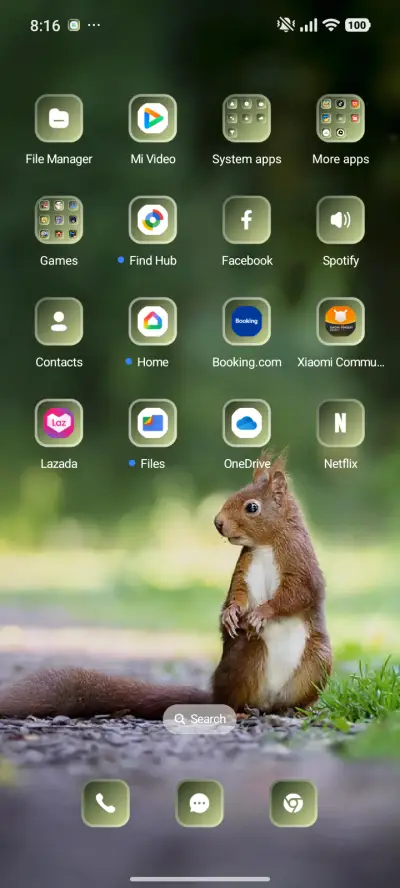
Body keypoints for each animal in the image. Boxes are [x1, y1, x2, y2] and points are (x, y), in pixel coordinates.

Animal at [0, 452, 331, 719]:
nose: (217, 523)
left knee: (290, 699)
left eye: (252, 507)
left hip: (317, 662)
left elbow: (298, 594)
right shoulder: (244, 567)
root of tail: (265, 702)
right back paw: (239, 712)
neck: (265, 545)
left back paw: (292, 710)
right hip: (246, 658)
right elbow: (237, 594)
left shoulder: (300, 563)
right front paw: (230, 614)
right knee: (234, 700)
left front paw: (262, 612)